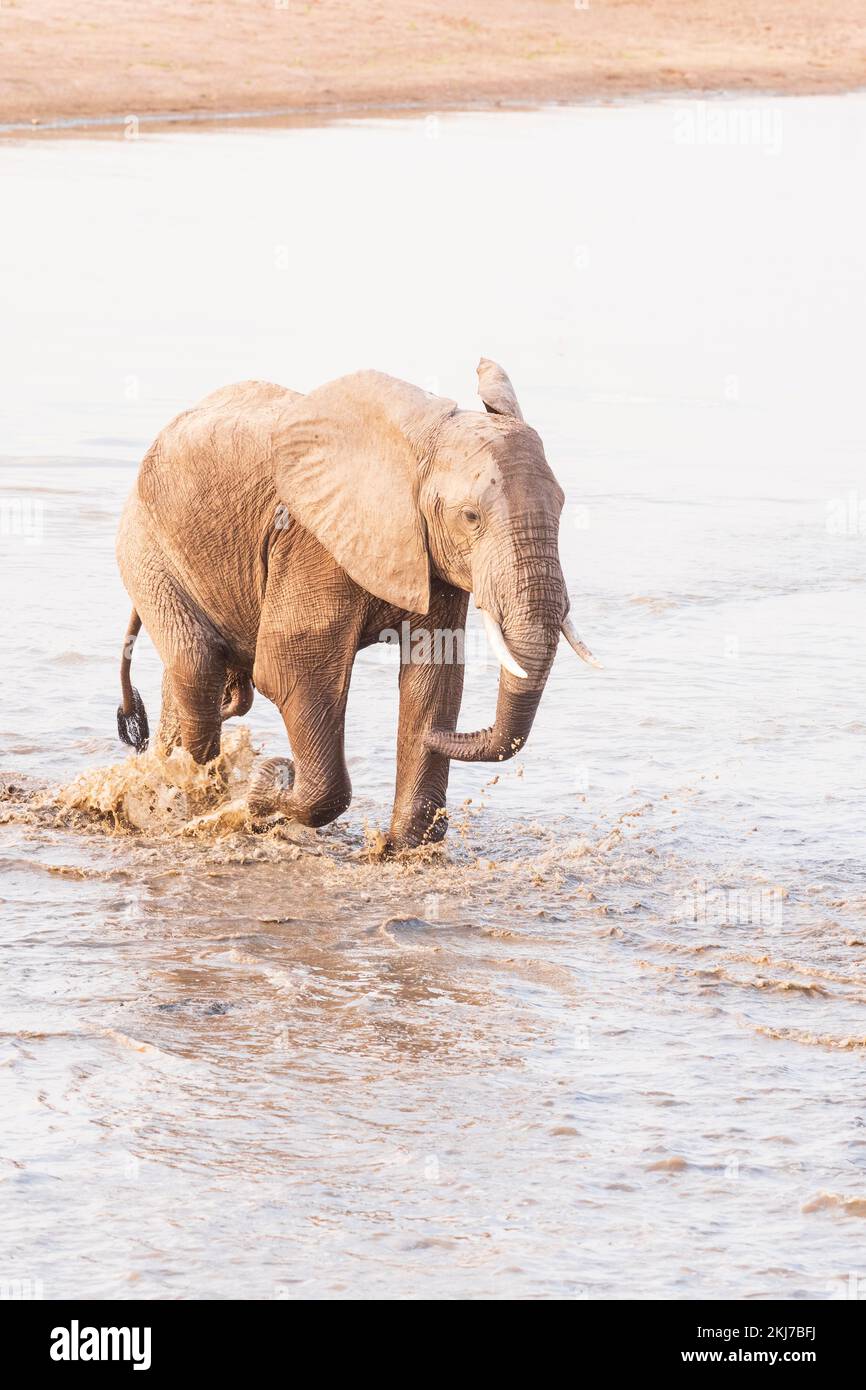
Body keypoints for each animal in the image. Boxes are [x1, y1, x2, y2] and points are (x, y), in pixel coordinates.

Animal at [115, 358, 600, 850]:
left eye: (562, 507)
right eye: (470, 517)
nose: (442, 737)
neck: (421, 440)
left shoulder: (427, 555)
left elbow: (434, 675)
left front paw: (399, 848)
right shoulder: (312, 540)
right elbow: (294, 668)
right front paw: (269, 781)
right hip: (144, 543)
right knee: (197, 667)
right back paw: (188, 807)